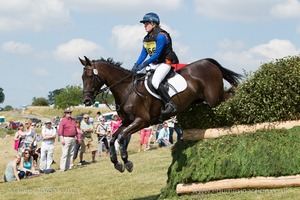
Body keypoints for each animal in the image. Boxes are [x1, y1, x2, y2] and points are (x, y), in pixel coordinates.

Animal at [78, 55, 243, 172]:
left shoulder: (141, 121)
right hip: (207, 100)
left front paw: (127, 162)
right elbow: (113, 138)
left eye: (90, 77)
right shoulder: (126, 122)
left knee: (231, 97)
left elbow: (121, 137)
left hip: (215, 99)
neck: (127, 90)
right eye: (82, 77)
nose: (86, 100)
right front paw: (116, 163)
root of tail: (209, 63)